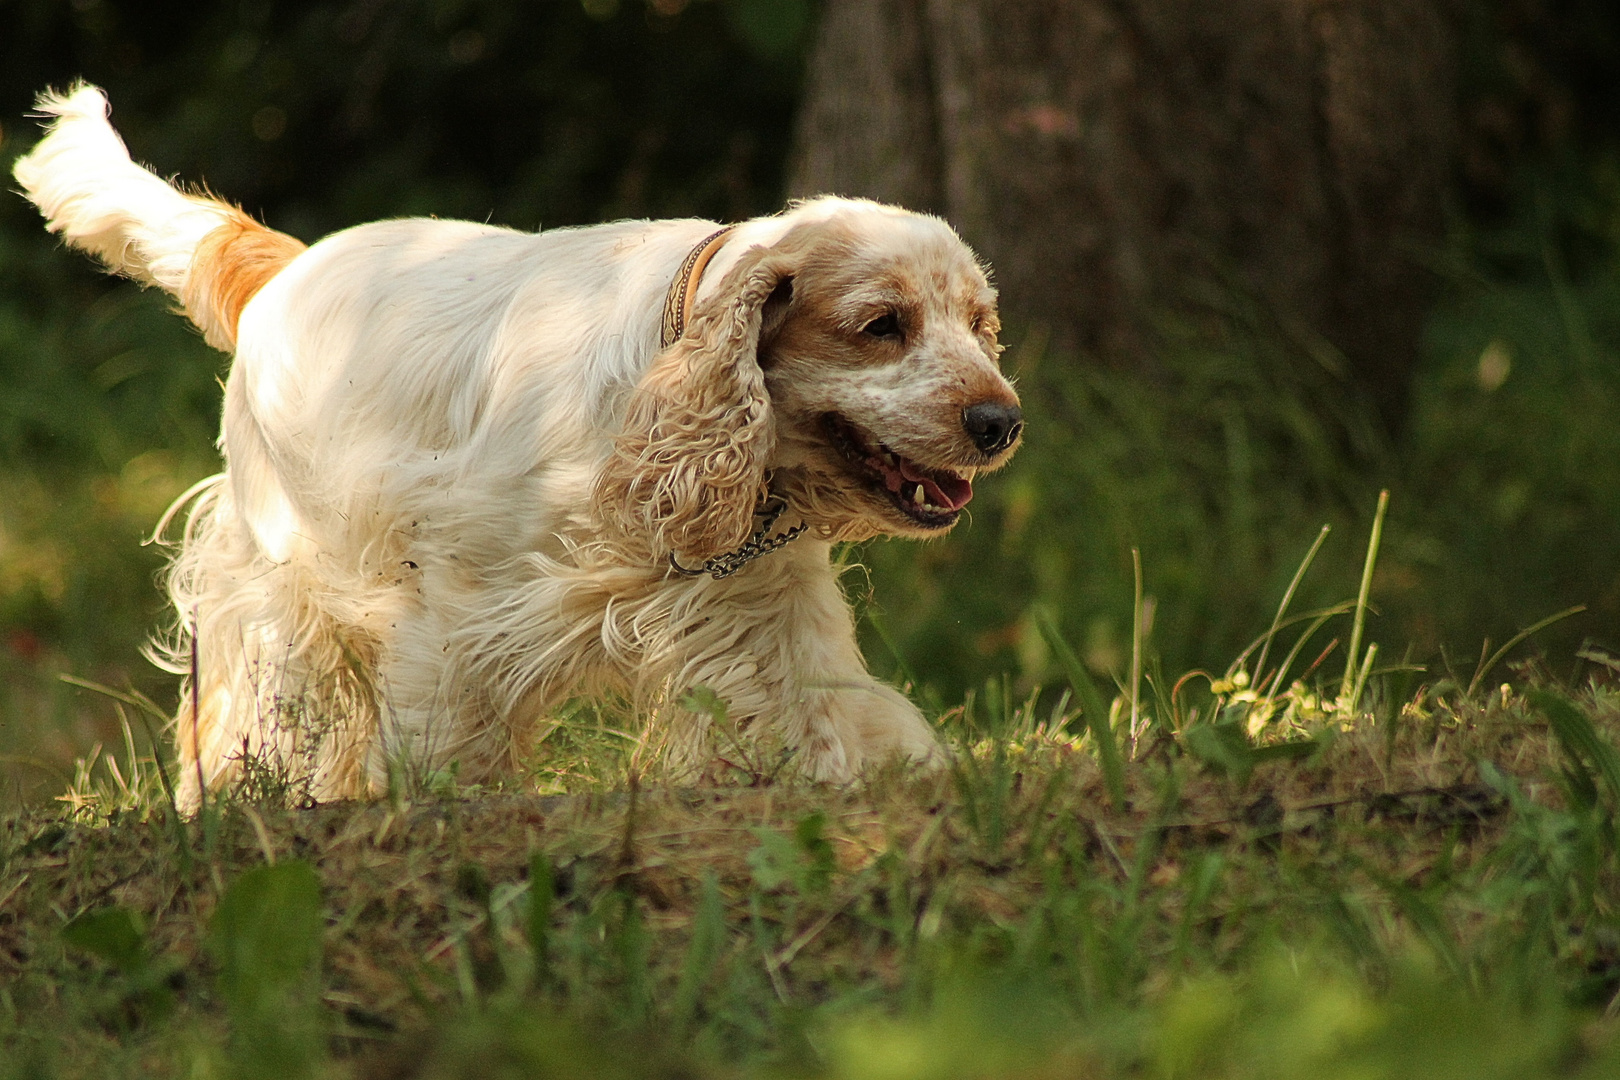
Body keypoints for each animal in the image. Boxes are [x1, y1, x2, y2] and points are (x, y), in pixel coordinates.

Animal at [15, 86, 1023, 809]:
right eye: (882, 326)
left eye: (980, 325)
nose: (1001, 422)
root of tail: (284, 263)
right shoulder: (448, 609)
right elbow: (447, 742)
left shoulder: (756, 615)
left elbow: (817, 723)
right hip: (276, 584)